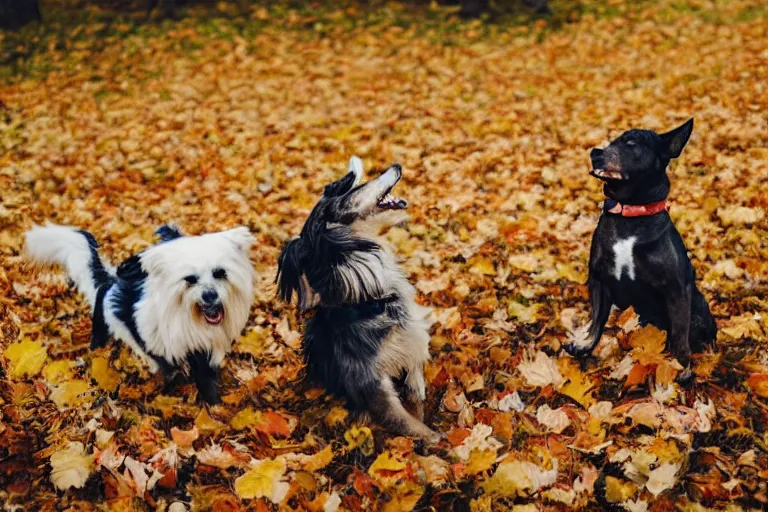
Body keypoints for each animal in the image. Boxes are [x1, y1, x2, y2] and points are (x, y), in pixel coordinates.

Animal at [25, 224, 255, 404]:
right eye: (190, 279)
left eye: (220, 273)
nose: (209, 295)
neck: (185, 315)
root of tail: (108, 281)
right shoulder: (151, 341)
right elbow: (169, 370)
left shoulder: (204, 352)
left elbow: (207, 382)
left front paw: (214, 407)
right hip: (103, 333)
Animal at [276, 156, 438, 444]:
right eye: (357, 187)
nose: (397, 164)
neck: (371, 301)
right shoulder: (372, 387)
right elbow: (408, 423)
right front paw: (439, 442)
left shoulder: (413, 337)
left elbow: (416, 379)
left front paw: (418, 393)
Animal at [564, 117, 720, 380]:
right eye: (611, 142)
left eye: (631, 142)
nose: (595, 153)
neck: (630, 212)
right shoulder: (599, 280)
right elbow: (596, 319)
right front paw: (585, 344)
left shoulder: (677, 291)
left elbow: (680, 335)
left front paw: (681, 368)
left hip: (698, 307)